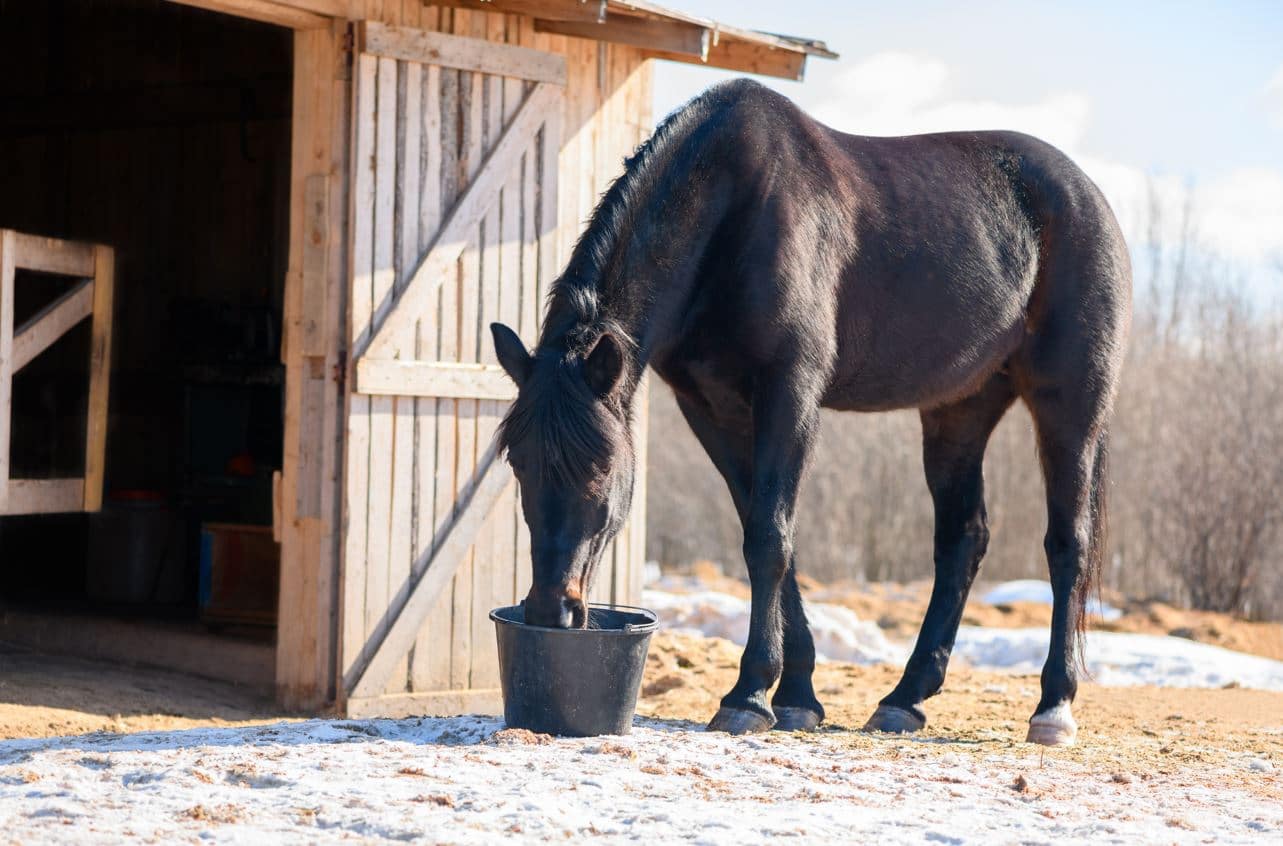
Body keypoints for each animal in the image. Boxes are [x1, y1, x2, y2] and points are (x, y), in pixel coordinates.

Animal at [490, 76, 1134, 744]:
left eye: (601, 468)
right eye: (517, 464)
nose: (551, 610)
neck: (731, 211)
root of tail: (1088, 197)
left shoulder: (790, 393)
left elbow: (769, 538)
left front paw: (749, 697)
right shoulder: (712, 410)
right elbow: (772, 536)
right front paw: (796, 694)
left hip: (1070, 404)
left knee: (1067, 542)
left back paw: (1053, 706)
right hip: (959, 410)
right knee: (963, 538)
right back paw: (905, 699)